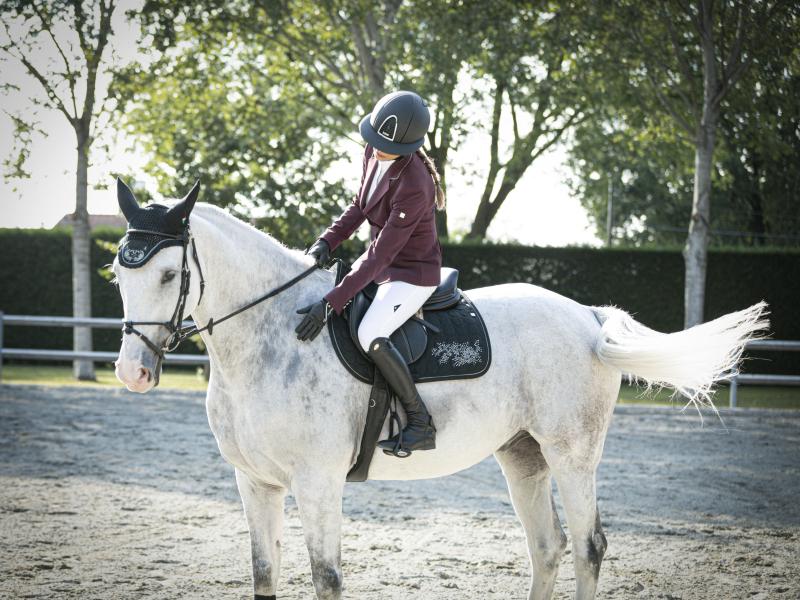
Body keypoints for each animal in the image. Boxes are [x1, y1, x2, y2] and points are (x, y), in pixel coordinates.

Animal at [112, 184, 768, 600]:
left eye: (168, 275)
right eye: (118, 272)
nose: (132, 373)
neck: (270, 336)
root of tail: (588, 315)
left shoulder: (317, 482)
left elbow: (326, 577)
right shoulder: (254, 481)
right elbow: (263, 574)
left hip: (571, 454)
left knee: (587, 546)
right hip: (522, 455)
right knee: (548, 546)